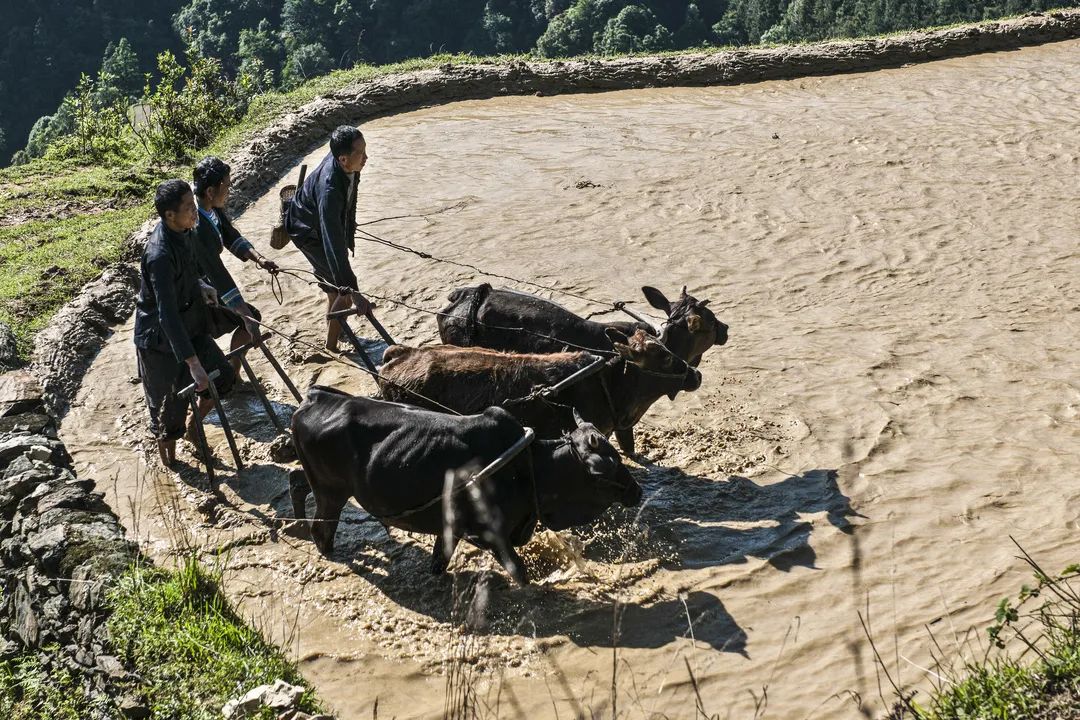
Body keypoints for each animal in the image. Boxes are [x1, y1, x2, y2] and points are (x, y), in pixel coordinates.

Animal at [289, 388, 639, 587]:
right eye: (601, 470)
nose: (635, 490)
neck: (527, 468)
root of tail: (312, 399)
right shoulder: (487, 535)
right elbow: (520, 572)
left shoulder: (452, 530)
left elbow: (438, 563)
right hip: (330, 493)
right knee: (321, 529)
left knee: (297, 486)